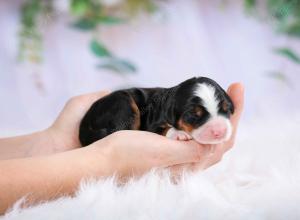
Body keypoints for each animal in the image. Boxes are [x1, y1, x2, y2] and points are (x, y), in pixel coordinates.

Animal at [78, 76, 233, 147]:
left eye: (226, 110)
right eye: (193, 115)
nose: (220, 131)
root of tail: (85, 123)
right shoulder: (151, 124)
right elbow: (163, 129)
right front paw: (178, 134)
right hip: (123, 104)